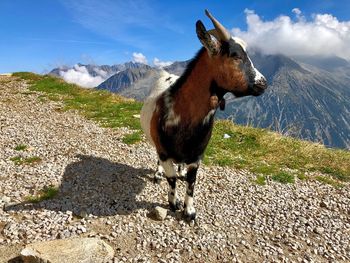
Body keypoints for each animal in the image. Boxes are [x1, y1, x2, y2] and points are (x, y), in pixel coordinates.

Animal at [141, 9, 266, 222]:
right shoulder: (164, 151)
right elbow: (171, 179)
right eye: (235, 56)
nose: (263, 83)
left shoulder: (197, 153)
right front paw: (173, 203)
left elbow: (192, 181)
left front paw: (189, 211)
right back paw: (158, 174)